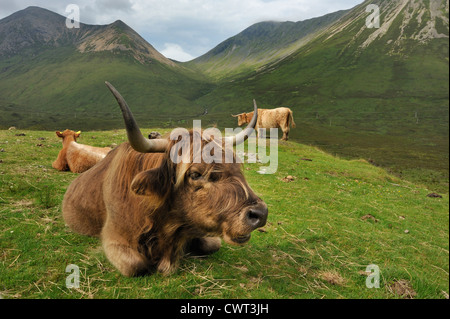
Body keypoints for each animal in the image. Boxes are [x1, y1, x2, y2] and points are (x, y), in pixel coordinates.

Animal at [62, 82, 268, 278]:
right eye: (195, 174)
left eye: (236, 165)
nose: (260, 213)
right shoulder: (113, 237)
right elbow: (136, 265)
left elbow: (212, 245)